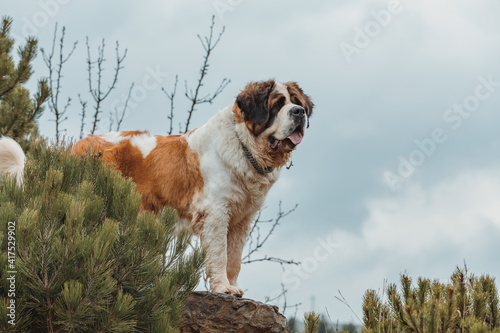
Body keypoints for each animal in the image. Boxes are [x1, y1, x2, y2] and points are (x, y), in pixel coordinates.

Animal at [0, 80, 312, 296]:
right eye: (277, 104)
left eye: (297, 102)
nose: (299, 112)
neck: (242, 145)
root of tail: (75, 148)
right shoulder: (215, 214)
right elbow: (219, 255)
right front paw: (222, 288)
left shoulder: (241, 220)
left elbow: (233, 258)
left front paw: (232, 287)